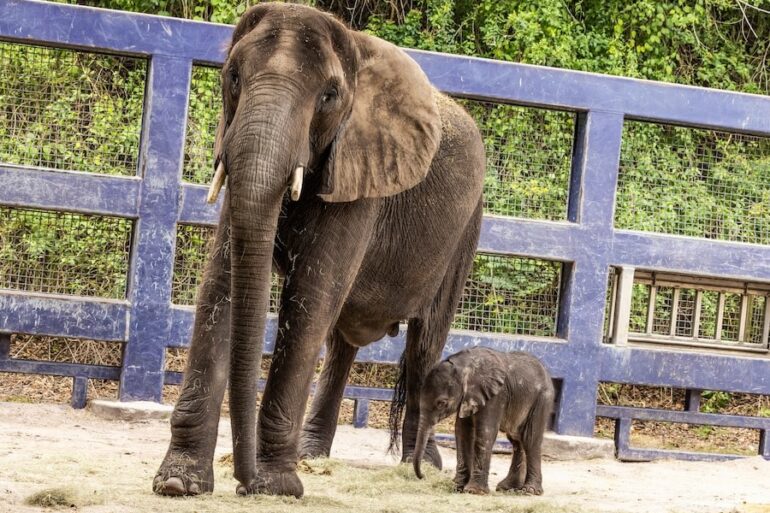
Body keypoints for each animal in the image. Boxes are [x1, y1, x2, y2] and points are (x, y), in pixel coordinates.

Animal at [153, 2, 485, 499]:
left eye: (329, 96)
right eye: (233, 77)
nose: (243, 481)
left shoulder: (360, 176)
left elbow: (309, 298)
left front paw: (275, 487)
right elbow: (221, 286)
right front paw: (178, 483)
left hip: (465, 231)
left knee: (424, 343)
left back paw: (420, 465)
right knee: (342, 341)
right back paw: (313, 455)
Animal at [413, 347, 554, 496]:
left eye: (441, 403)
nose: (423, 476)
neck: (465, 366)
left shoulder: (496, 396)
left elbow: (486, 432)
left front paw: (473, 491)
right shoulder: (468, 397)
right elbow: (462, 432)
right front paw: (457, 487)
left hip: (542, 399)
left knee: (529, 439)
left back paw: (529, 491)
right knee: (516, 440)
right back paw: (507, 488)